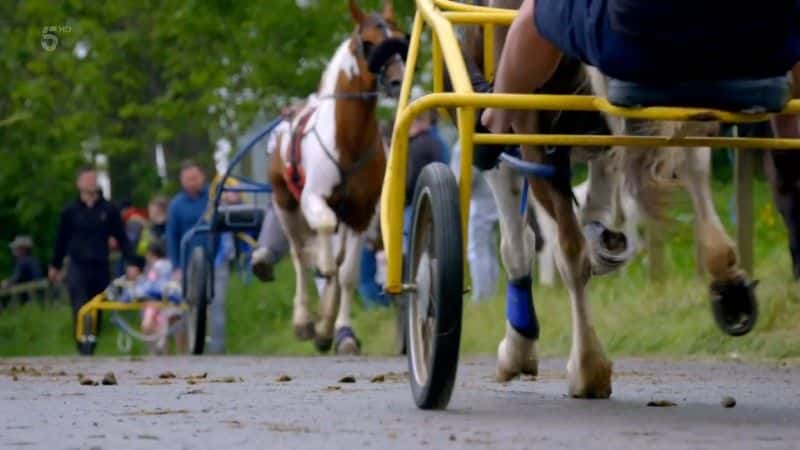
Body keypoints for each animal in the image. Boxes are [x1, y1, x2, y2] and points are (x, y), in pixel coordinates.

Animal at [268, 0, 406, 356]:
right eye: (368, 43)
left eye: (400, 38)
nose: (398, 82)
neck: (348, 142)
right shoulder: (313, 200)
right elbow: (324, 256)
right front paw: (319, 323)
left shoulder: (360, 214)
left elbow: (346, 274)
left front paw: (341, 332)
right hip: (285, 204)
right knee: (300, 256)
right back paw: (304, 320)